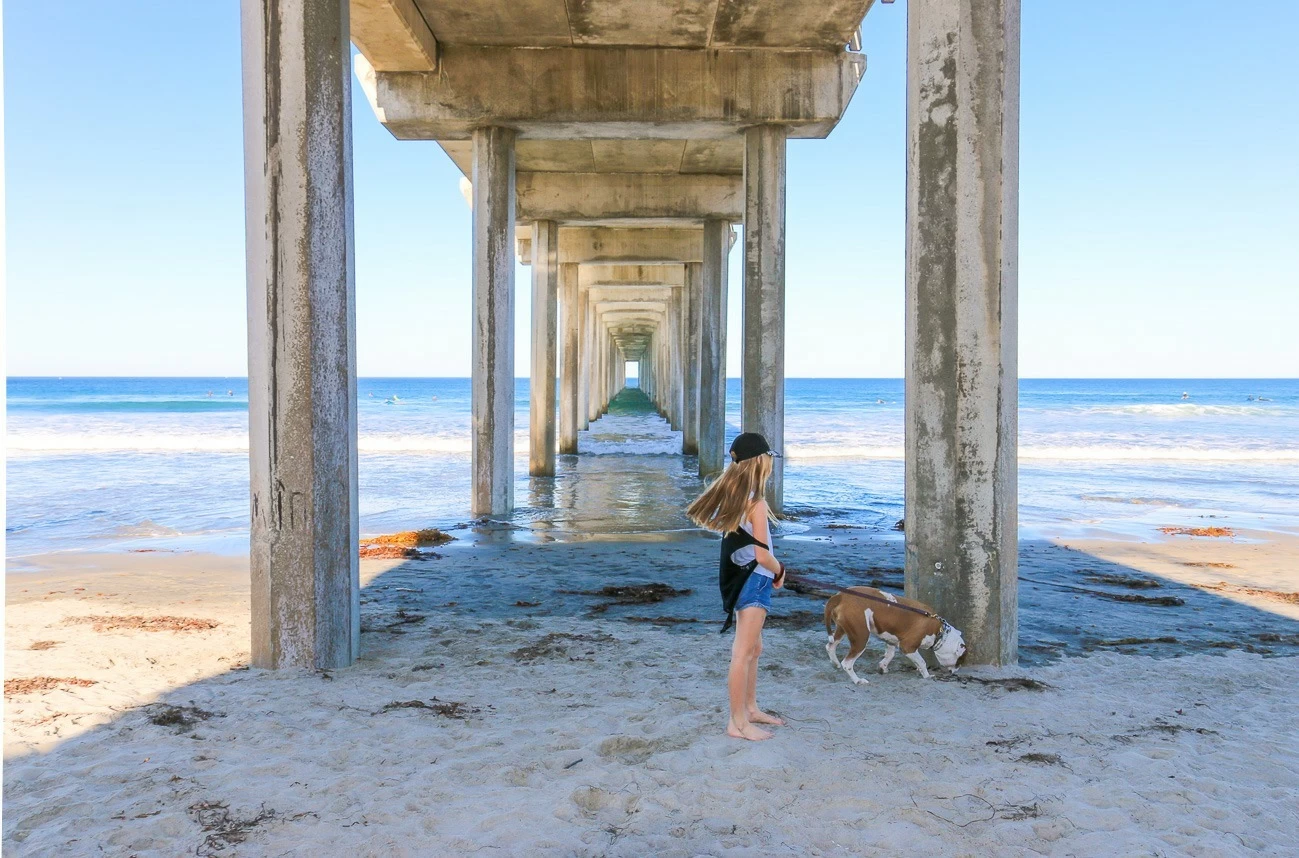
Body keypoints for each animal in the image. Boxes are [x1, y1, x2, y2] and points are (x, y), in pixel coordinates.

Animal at [820, 586, 966, 685]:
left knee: (830, 646)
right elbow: (922, 662)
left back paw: (836, 664)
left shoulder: (891, 640)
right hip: (861, 637)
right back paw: (858, 680)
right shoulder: (908, 647)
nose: (956, 671)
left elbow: (889, 655)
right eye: (959, 661)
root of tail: (840, 596)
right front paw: (927, 676)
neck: (940, 631)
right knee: (847, 663)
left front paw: (883, 667)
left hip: (842, 630)